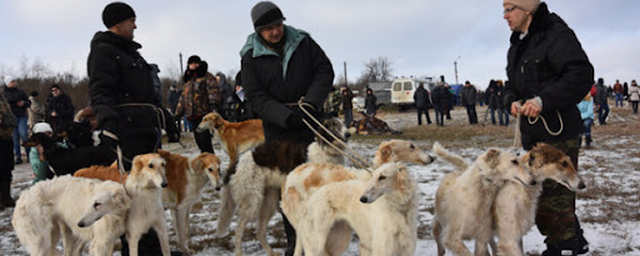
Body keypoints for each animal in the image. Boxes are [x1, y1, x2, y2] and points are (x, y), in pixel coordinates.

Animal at [73, 149, 220, 255]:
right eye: (210, 169)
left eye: (219, 168)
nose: (218, 188)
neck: (192, 171)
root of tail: (77, 172)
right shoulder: (181, 208)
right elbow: (182, 232)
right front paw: (186, 249)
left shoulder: (177, 211)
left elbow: (185, 230)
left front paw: (188, 246)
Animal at [216, 117, 348, 256]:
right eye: (334, 125)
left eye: (343, 123)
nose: (348, 134)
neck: (326, 151)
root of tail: (236, 164)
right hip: (251, 201)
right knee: (238, 230)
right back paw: (239, 252)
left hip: (268, 202)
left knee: (259, 232)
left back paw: (271, 252)